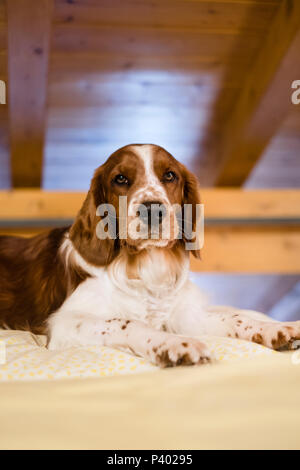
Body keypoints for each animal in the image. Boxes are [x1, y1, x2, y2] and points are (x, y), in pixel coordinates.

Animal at [0, 143, 300, 368]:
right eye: (120, 179)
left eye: (169, 175)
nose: (152, 209)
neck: (144, 268)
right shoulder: (65, 323)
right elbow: (126, 322)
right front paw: (174, 344)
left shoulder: (183, 316)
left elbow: (235, 317)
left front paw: (277, 329)